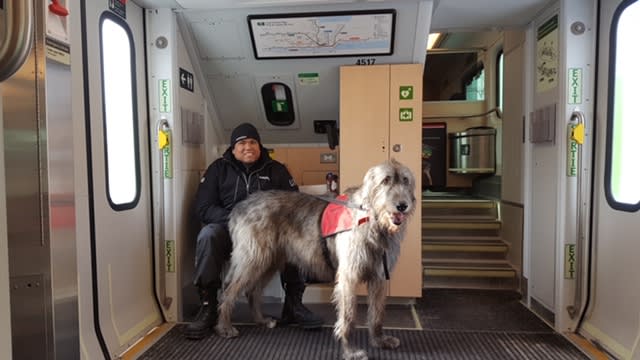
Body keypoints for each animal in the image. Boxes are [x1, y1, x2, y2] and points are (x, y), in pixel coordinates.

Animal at [215, 160, 416, 360]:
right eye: (385, 181)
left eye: (405, 181)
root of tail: (240, 206)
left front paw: (379, 340)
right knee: (229, 291)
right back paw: (225, 326)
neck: (372, 220)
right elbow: (348, 317)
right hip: (253, 258)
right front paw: (349, 350)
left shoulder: (379, 278)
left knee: (253, 291)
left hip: (269, 261)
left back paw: (261, 320)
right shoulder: (348, 277)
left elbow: (377, 314)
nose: (402, 206)